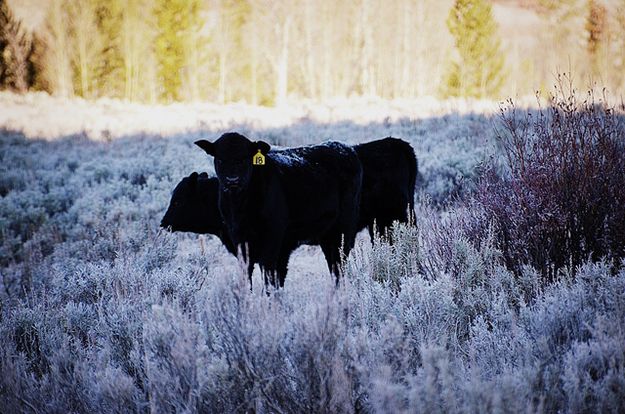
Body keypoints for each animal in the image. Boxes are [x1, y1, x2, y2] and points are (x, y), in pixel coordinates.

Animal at [195, 133, 360, 288]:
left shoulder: (273, 236)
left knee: (339, 265)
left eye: (244, 158)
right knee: (333, 265)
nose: (232, 180)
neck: (241, 207)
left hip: (343, 230)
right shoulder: (239, 238)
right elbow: (248, 274)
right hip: (326, 234)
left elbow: (269, 276)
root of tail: (343, 147)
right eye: (220, 159)